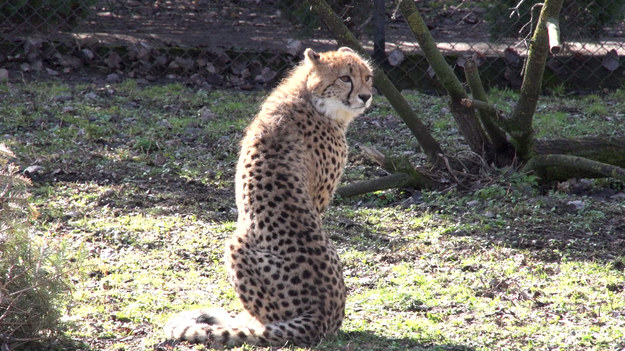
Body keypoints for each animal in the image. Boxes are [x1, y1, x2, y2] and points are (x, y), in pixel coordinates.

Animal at [163, 46, 372, 346]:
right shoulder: (318, 199)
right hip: (236, 244)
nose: (366, 96)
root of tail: (320, 316)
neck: (309, 97)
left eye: (368, 77)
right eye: (345, 78)